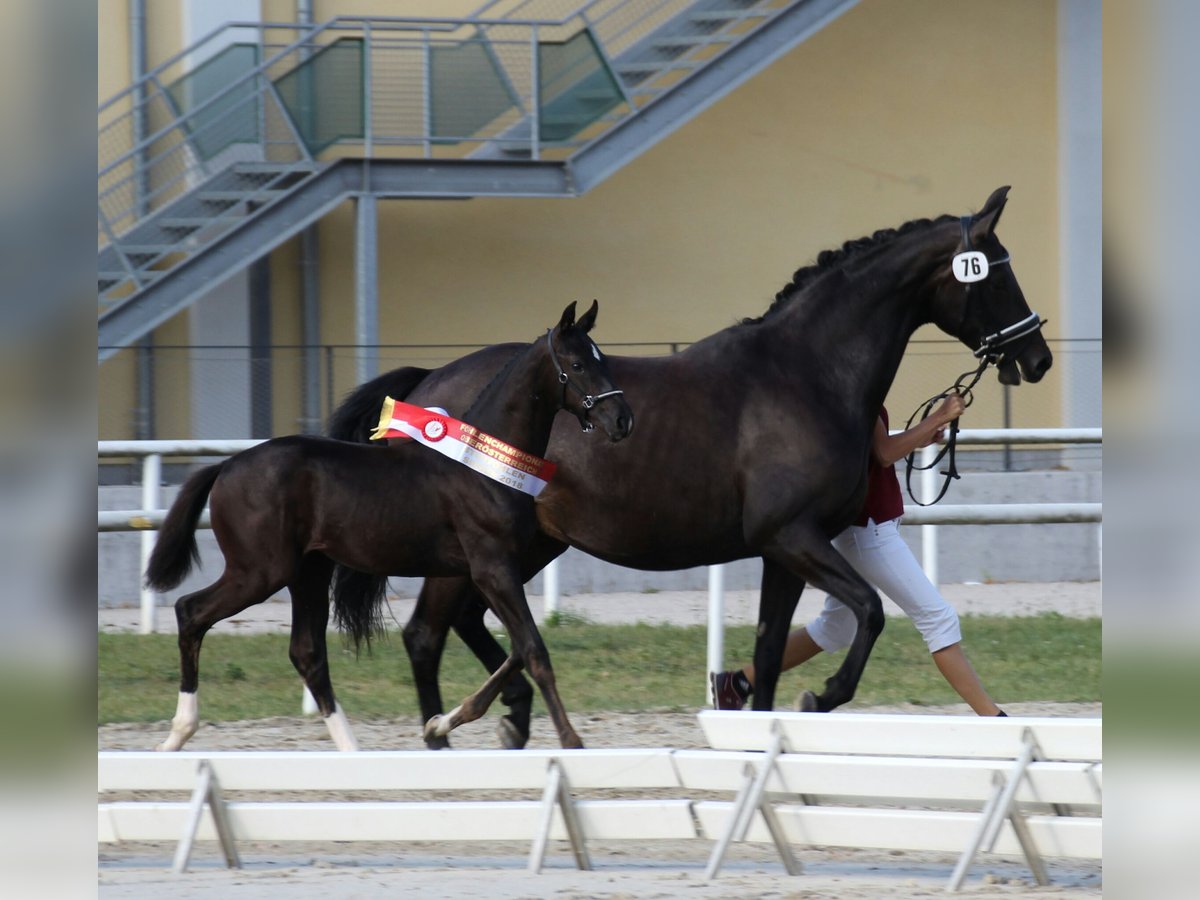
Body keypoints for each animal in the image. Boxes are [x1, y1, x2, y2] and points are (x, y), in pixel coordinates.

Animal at [144, 303, 633, 753]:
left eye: (603, 359)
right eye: (577, 364)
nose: (622, 420)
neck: (482, 465)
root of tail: (225, 466)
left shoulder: (494, 570)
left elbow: (516, 648)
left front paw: (440, 723)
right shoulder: (492, 567)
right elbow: (533, 649)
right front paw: (571, 741)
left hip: (309, 571)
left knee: (307, 652)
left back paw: (352, 754)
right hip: (259, 572)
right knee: (190, 613)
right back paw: (178, 732)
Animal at [328, 187, 1051, 748]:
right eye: (994, 274)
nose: (1037, 357)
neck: (805, 374)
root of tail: (428, 383)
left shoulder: (783, 549)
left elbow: (768, 650)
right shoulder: (792, 537)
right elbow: (870, 611)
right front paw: (821, 696)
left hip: (526, 545)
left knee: (470, 625)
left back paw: (507, 718)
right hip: (476, 550)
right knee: (427, 635)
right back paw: (449, 733)